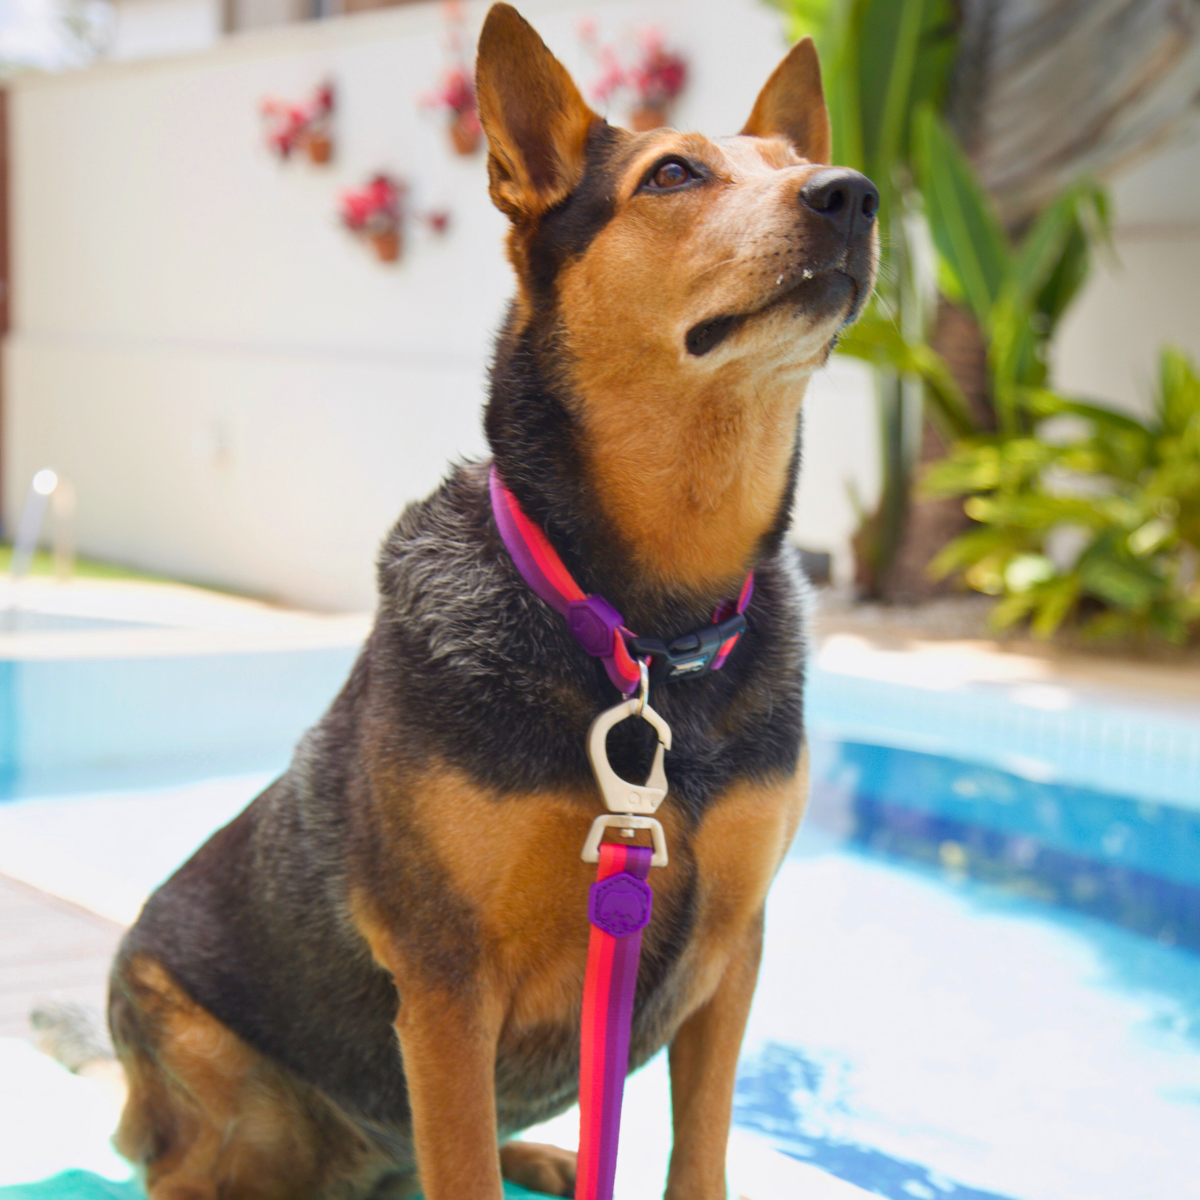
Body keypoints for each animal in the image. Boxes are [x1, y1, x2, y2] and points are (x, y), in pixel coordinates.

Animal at [105, 4, 873, 1195]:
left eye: (795, 162)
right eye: (673, 174)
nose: (853, 194)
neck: (646, 627)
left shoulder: (734, 949)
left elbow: (697, 1152)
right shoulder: (446, 983)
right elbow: (459, 1159)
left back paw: (549, 1156)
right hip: (204, 1065)